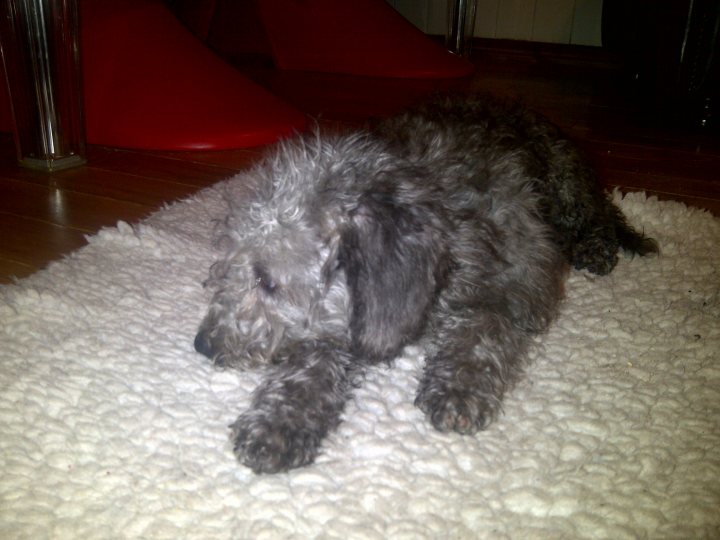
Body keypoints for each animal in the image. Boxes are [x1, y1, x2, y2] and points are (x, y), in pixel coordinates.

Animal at [194, 96, 656, 472]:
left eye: (266, 280)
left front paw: (458, 385)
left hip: (569, 191)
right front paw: (280, 420)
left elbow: (480, 329)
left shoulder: (516, 284)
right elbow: (310, 364)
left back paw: (597, 249)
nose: (203, 344)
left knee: (602, 216)